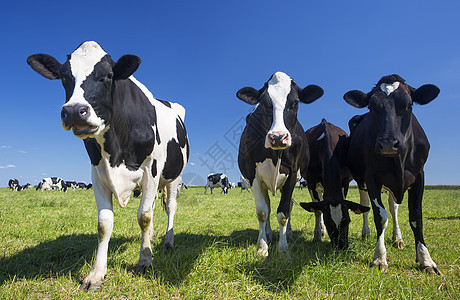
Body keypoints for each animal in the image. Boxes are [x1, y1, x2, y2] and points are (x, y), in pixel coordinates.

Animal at [27, 40, 190, 290]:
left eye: (108, 75)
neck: (116, 147)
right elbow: (104, 224)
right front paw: (96, 273)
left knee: (170, 207)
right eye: (64, 76)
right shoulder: (97, 174)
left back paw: (167, 242)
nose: (73, 111)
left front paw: (145, 261)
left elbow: (143, 217)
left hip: (173, 176)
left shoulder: (150, 171)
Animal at [237, 71, 324, 256]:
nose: (278, 137)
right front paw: (262, 248)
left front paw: (283, 250)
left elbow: (283, 212)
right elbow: (262, 212)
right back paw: (269, 234)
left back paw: (289, 234)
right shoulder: (252, 174)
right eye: (264, 103)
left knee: (288, 206)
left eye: (295, 102)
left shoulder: (293, 172)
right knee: (268, 206)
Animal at [298, 119, 370, 248]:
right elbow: (317, 210)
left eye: (347, 221)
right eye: (328, 223)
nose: (341, 247)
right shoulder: (311, 182)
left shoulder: (344, 181)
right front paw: (317, 236)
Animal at [344, 74, 440, 274]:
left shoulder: (419, 176)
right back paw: (366, 233)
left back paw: (398, 239)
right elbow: (380, 216)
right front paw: (380, 257)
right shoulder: (371, 178)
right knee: (366, 205)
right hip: (363, 181)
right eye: (371, 107)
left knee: (394, 208)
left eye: (409, 104)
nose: (388, 144)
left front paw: (426, 259)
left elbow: (416, 217)